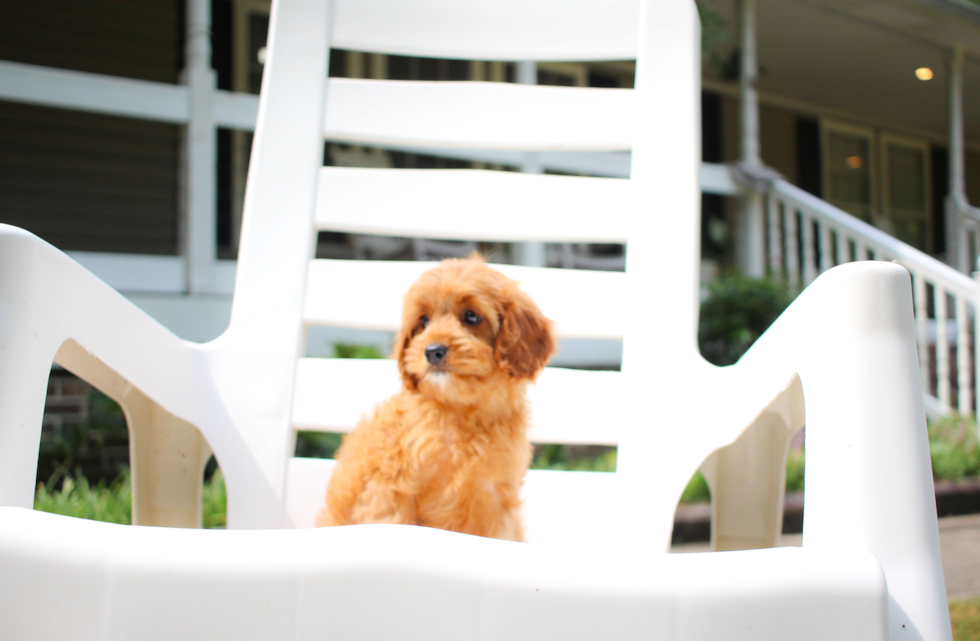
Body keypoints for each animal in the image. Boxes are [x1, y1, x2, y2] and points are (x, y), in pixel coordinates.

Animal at [318, 255, 556, 540]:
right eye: (423, 321)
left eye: (471, 316)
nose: (433, 351)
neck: (463, 412)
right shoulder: (389, 490)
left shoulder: (495, 499)